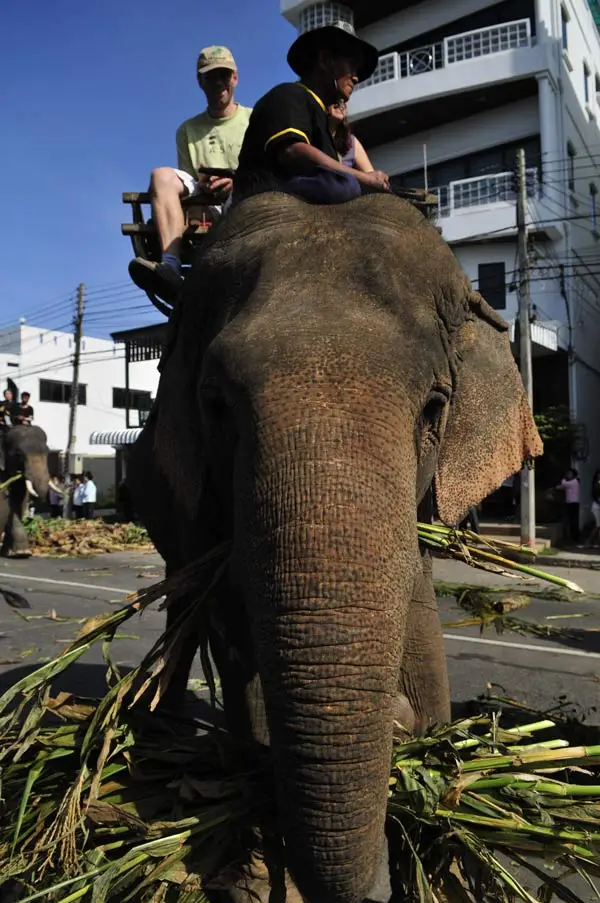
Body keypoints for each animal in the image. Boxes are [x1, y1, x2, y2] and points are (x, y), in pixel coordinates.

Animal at [127, 192, 543, 903]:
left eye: (436, 406)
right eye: (217, 405)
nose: (399, 722)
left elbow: (417, 601)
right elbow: (236, 630)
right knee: (187, 606)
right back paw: (165, 735)